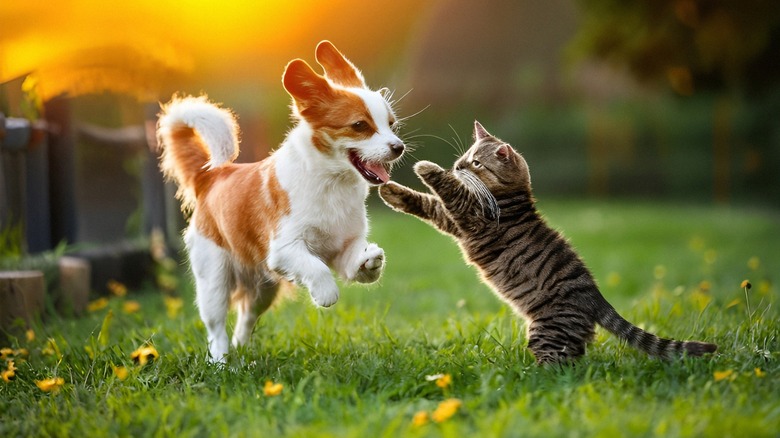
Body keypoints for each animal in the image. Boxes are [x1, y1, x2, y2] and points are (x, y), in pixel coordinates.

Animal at [156, 41, 406, 362]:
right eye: (360, 125)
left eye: (391, 125)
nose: (399, 147)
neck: (332, 185)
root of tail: (210, 176)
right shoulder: (284, 250)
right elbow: (316, 268)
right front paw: (325, 293)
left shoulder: (343, 248)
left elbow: (355, 262)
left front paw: (370, 260)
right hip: (214, 280)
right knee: (216, 331)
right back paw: (222, 364)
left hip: (263, 290)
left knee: (245, 319)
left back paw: (243, 359)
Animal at [380, 121, 720, 364]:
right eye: (463, 158)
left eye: (475, 163)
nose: (457, 167)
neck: (513, 197)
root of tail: (597, 298)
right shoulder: (453, 220)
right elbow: (425, 203)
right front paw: (391, 191)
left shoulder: (468, 213)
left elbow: (445, 189)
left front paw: (426, 167)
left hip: (548, 331)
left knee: (558, 367)